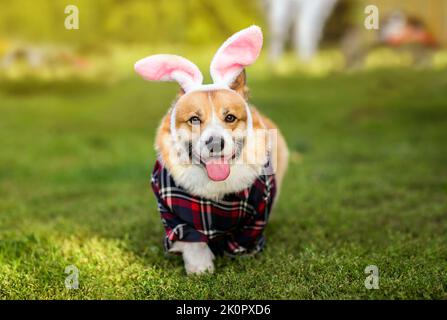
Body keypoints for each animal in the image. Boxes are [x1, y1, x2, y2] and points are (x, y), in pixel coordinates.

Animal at [136, 25, 290, 276]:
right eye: (194, 119)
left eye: (230, 118)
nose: (215, 143)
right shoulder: (174, 214)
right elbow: (192, 240)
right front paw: (200, 268)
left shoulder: (258, 210)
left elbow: (245, 237)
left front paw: (242, 255)